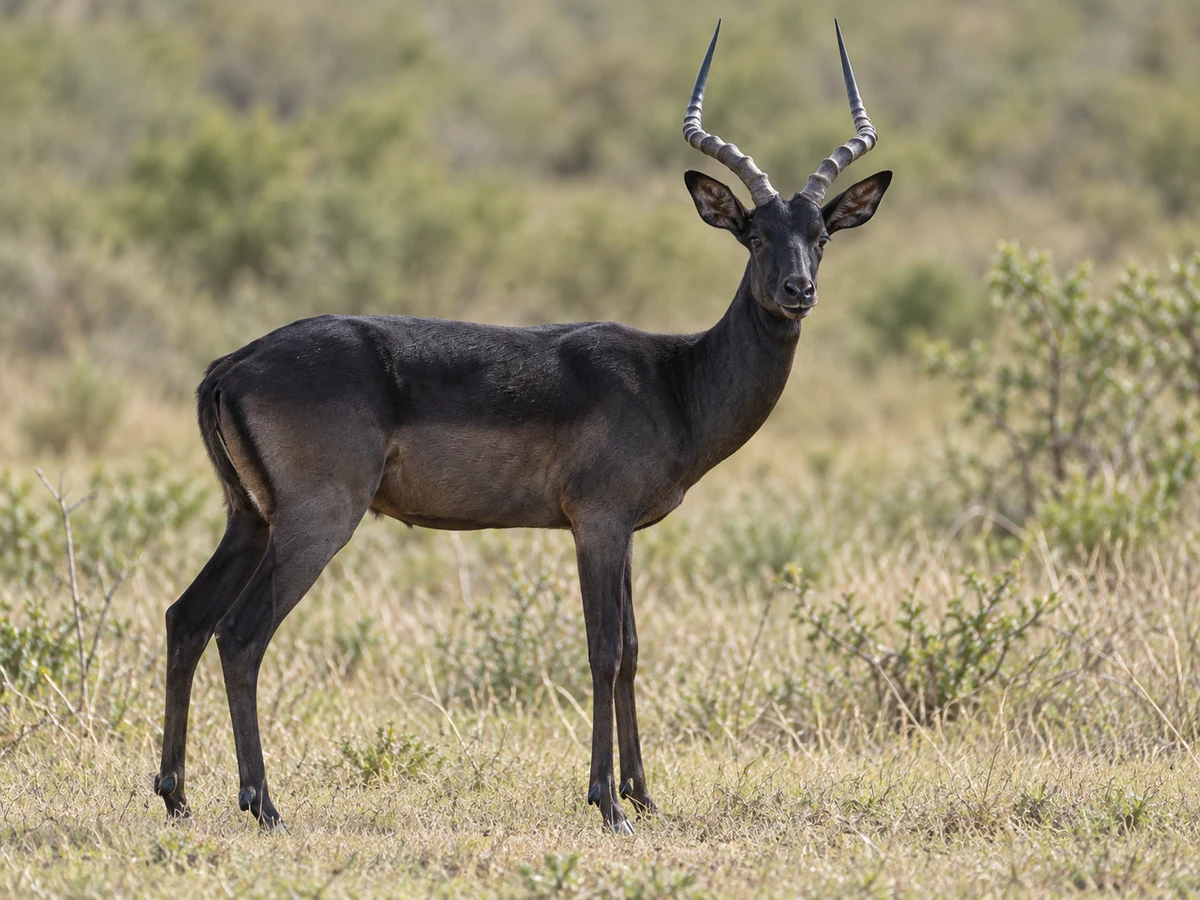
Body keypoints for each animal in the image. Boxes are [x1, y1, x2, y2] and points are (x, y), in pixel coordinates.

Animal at [154, 19, 891, 834]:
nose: (798, 290)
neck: (674, 380)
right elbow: (604, 650)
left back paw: (177, 796)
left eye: (821, 235)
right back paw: (264, 805)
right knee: (241, 634)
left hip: (250, 519)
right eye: (755, 235)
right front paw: (609, 805)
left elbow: (634, 650)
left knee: (186, 618)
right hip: (315, 521)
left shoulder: (622, 530)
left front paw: (645, 796)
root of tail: (229, 366)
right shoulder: (597, 522)